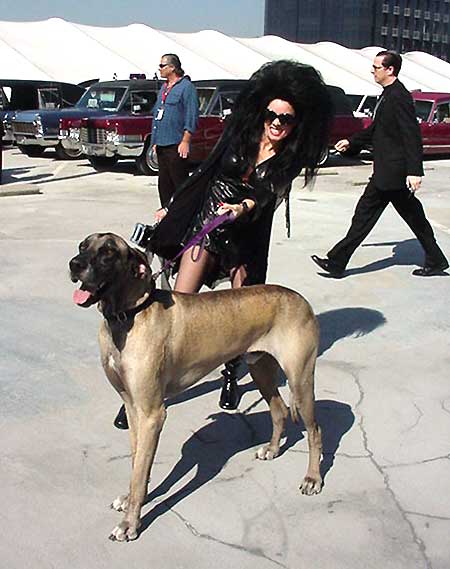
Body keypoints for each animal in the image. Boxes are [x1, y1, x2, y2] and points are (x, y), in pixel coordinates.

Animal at [68, 232, 324, 540]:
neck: (129, 314)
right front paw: (130, 501)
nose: (74, 264)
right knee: (279, 410)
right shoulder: (131, 407)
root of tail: (301, 299)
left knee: (315, 430)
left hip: (300, 379)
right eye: (83, 246)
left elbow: (140, 471)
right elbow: (136, 462)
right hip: (260, 368)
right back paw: (272, 449)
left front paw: (130, 523)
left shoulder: (152, 414)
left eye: (108, 252)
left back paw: (312, 478)